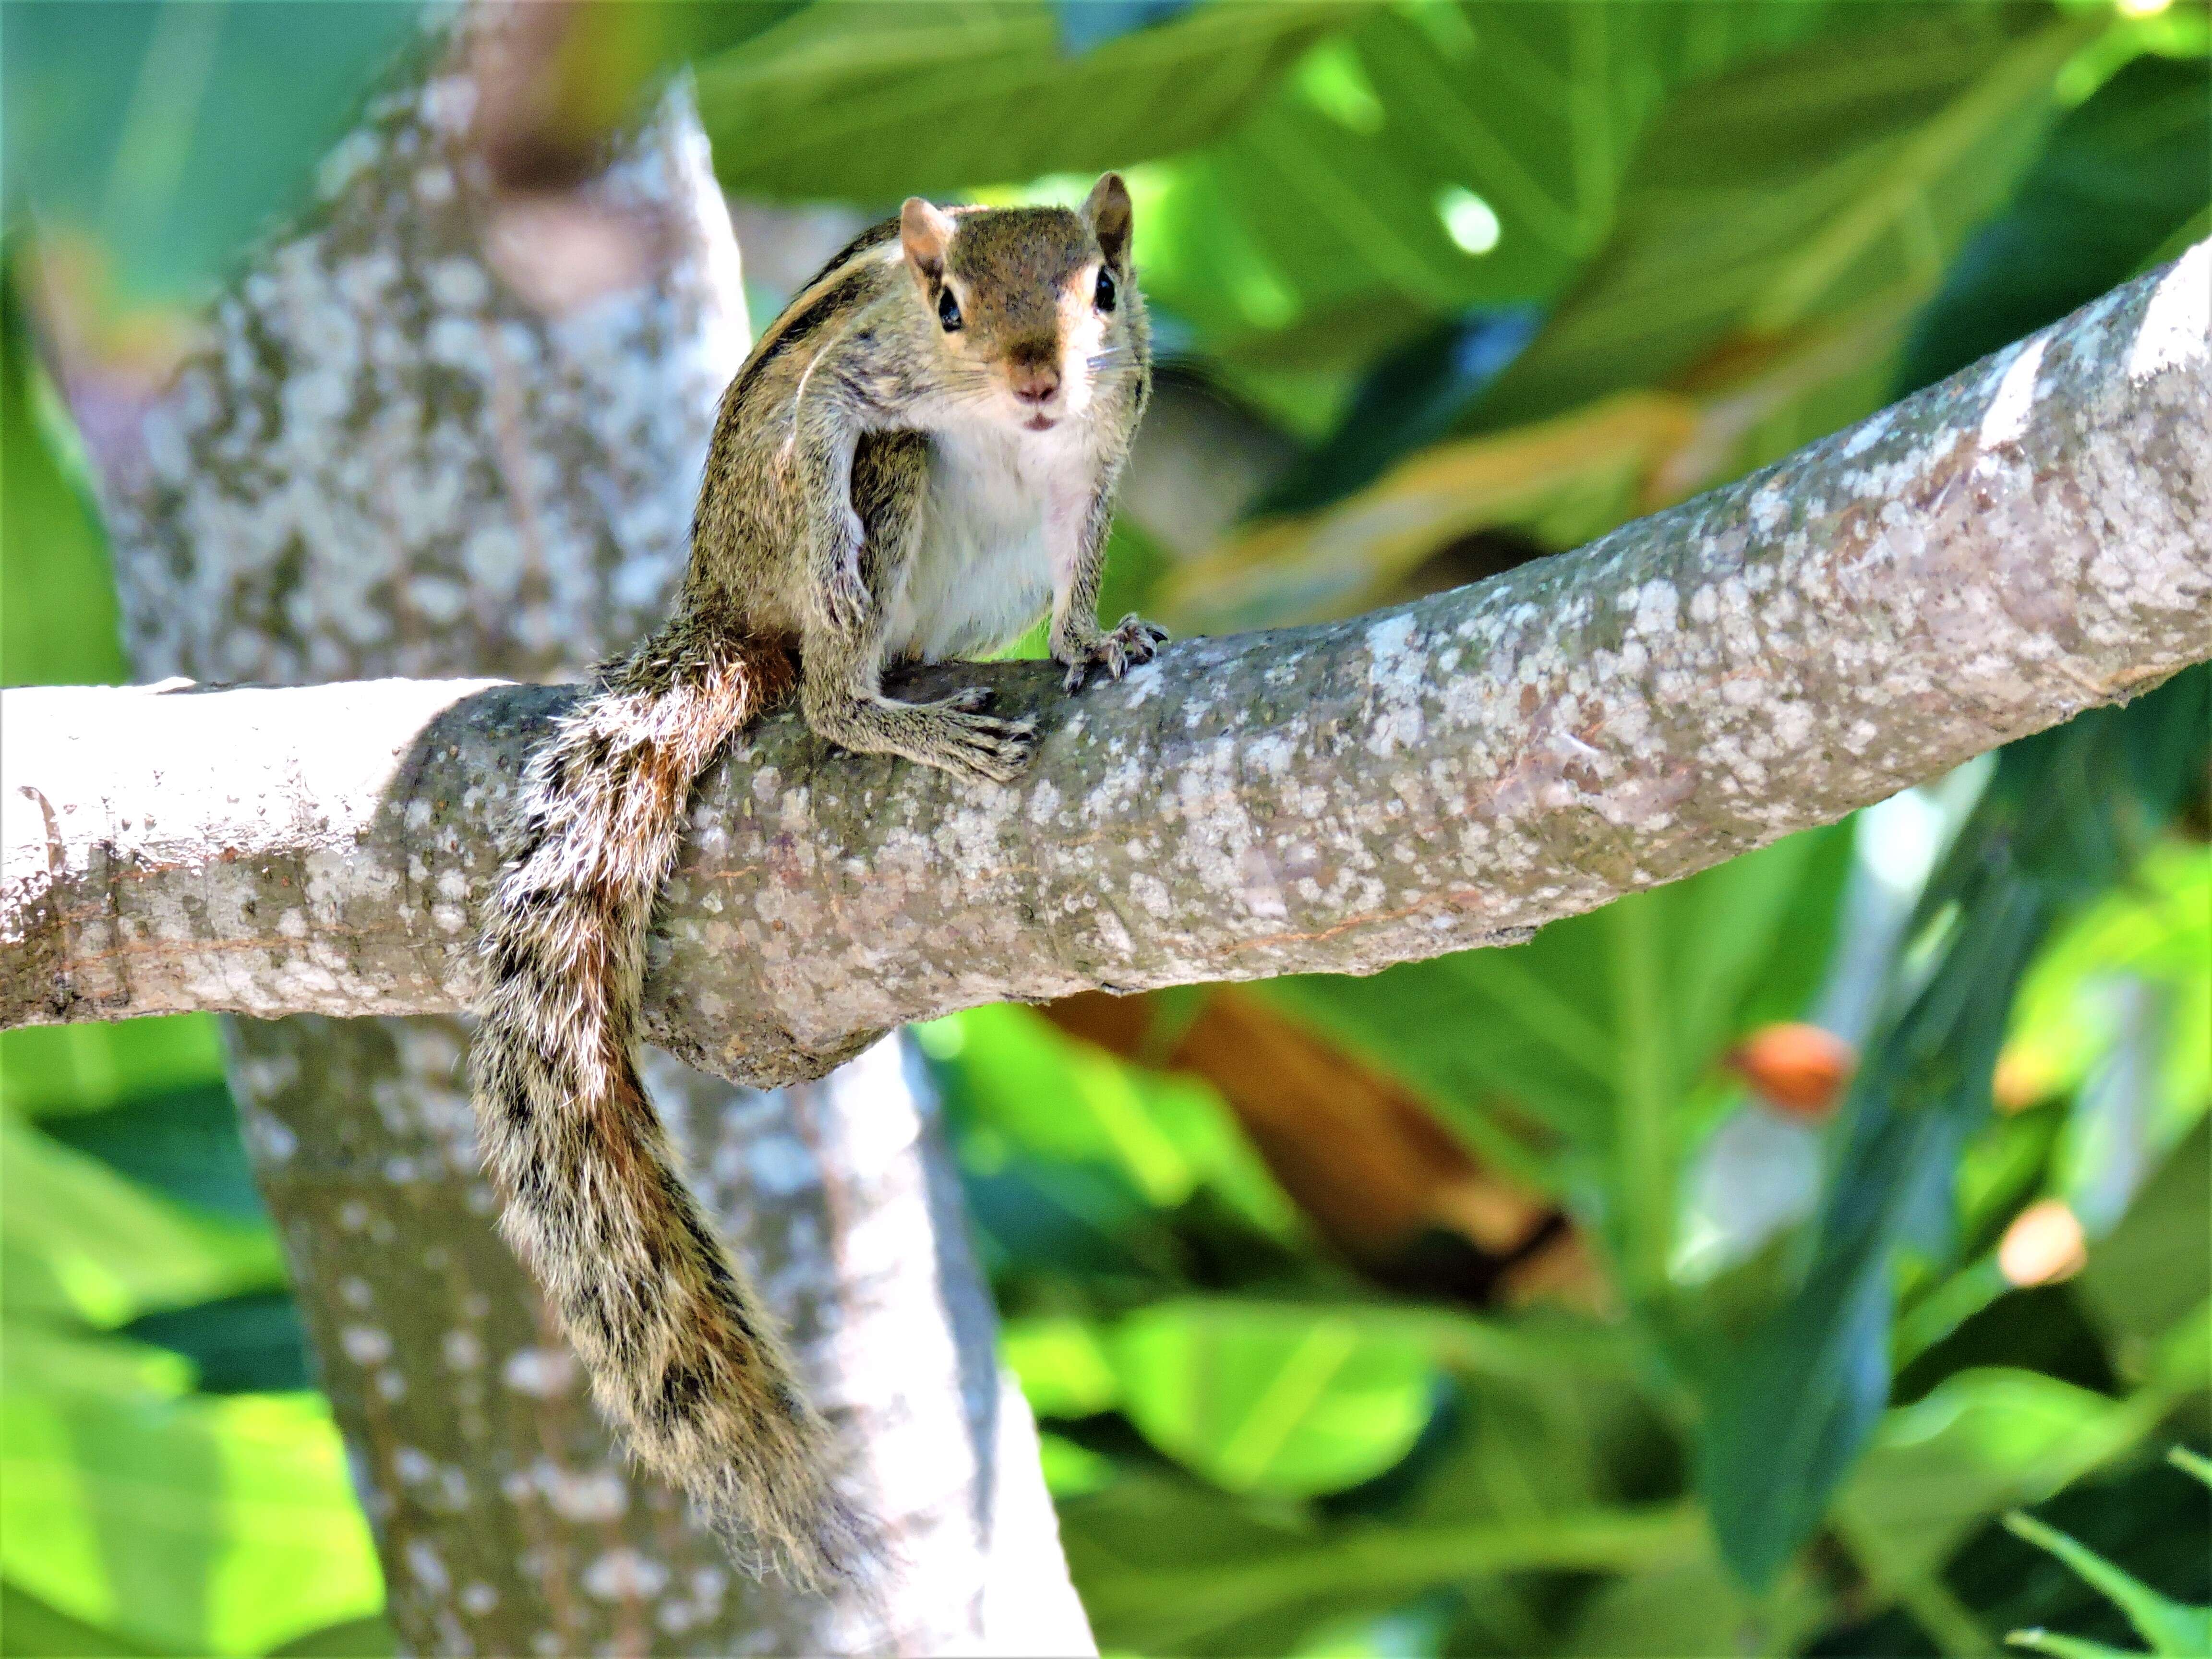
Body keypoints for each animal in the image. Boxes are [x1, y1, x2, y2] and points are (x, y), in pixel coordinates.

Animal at [467, 176, 1159, 1592]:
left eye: (1104, 291)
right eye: (948, 306)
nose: (1035, 379)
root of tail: (717, 606)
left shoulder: (1103, 444)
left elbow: (1082, 567)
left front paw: (1097, 637)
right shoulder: (874, 374)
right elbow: (831, 405)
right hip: (872, 507)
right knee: (829, 684)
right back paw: (891, 714)